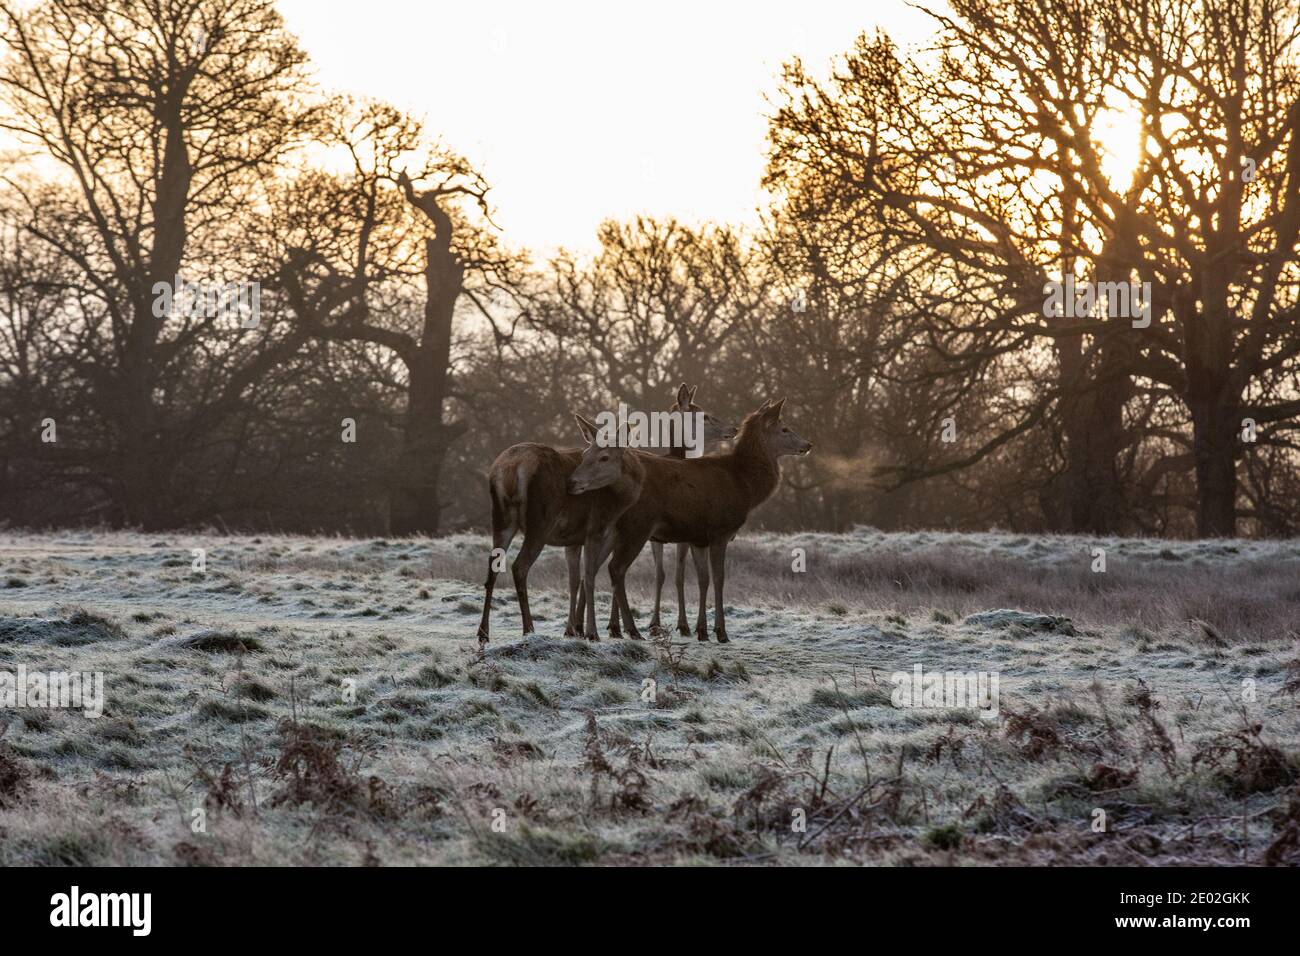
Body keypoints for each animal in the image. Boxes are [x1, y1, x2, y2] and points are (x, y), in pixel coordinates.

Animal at [475, 416, 642, 647]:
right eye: (585, 454)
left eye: (604, 457)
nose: (571, 483)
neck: (620, 504)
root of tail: (512, 467)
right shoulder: (597, 529)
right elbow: (589, 576)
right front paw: (592, 632)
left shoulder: (573, 539)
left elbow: (574, 580)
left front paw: (571, 630)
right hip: (540, 522)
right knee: (519, 566)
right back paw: (528, 629)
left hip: (501, 518)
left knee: (492, 567)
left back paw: (483, 632)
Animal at [600, 395, 811, 642]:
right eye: (784, 428)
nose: (808, 445)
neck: (746, 487)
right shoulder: (720, 531)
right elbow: (719, 579)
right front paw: (721, 631)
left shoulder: (698, 538)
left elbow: (703, 579)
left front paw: (701, 630)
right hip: (637, 525)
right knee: (616, 568)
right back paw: (631, 629)